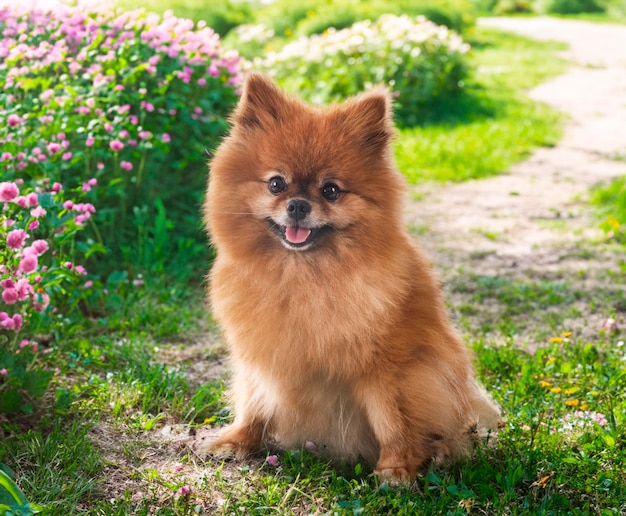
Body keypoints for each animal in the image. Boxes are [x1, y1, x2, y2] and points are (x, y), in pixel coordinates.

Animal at [202, 74, 500, 482]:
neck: (301, 279)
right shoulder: (262, 353)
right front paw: (238, 440)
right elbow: (254, 401)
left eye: (331, 190)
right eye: (276, 184)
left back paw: (439, 454)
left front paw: (396, 469)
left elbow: (392, 421)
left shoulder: (390, 369)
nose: (298, 205)